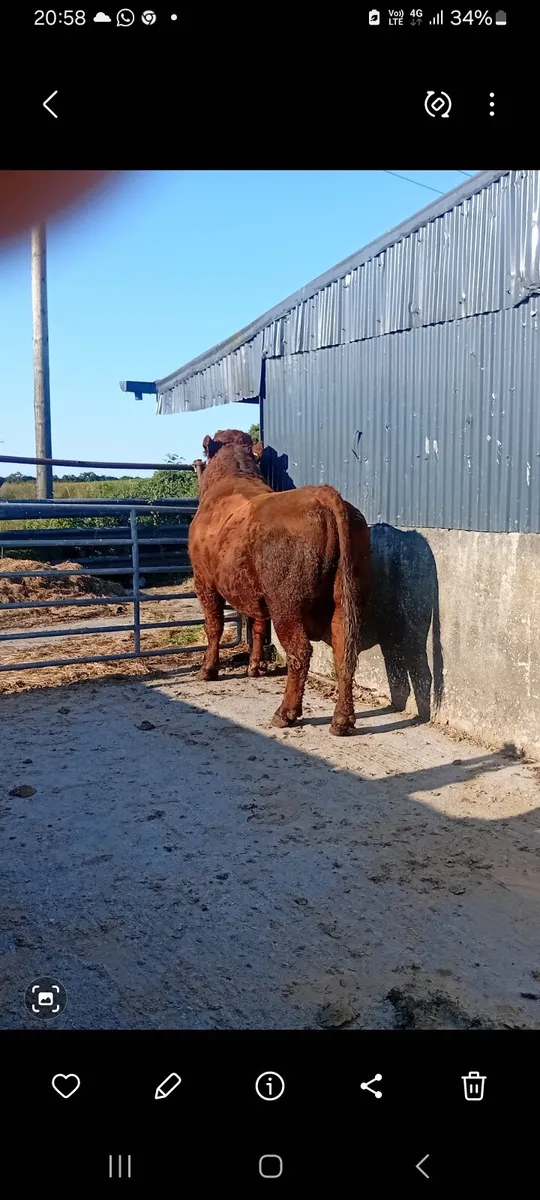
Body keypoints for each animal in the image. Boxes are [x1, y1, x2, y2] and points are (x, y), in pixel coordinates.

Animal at [189, 429, 371, 735]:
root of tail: (322, 493)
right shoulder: (253, 592)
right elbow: (258, 625)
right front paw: (255, 667)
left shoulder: (204, 581)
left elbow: (214, 626)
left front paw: (208, 670)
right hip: (345, 598)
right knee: (345, 653)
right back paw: (342, 720)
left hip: (286, 604)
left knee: (300, 652)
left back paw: (286, 712)